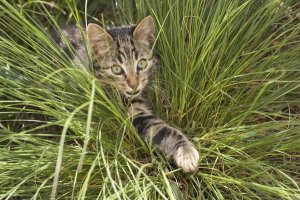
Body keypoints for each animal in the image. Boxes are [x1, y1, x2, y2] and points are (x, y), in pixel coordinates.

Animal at [58, 15, 199, 173]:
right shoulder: (134, 114)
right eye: (116, 69)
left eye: (142, 64)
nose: (134, 84)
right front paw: (186, 152)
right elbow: (164, 130)